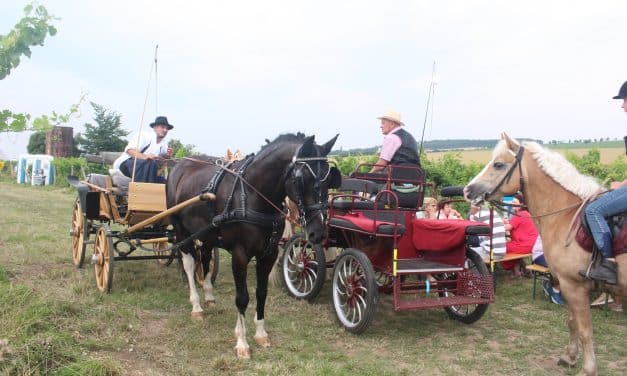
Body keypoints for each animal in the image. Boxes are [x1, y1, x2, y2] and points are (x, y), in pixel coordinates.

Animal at [167, 133, 340, 358]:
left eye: (329, 179)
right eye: (302, 179)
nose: (318, 233)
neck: (252, 193)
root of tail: (180, 165)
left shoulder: (269, 253)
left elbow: (261, 293)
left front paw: (260, 334)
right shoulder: (240, 255)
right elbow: (242, 298)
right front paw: (242, 342)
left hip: (207, 233)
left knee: (204, 258)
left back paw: (209, 295)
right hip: (182, 232)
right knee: (189, 264)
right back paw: (196, 306)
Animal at [464, 134, 624, 374]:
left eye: (499, 164)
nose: (467, 191)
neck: (565, 216)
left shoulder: (574, 286)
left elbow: (585, 330)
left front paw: (588, 369)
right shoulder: (569, 285)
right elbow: (572, 322)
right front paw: (569, 357)